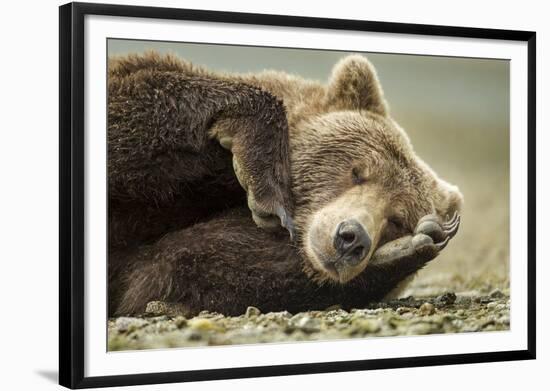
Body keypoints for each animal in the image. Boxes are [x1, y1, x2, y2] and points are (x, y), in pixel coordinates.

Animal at [106, 51, 462, 318]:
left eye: (397, 220)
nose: (351, 238)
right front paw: (265, 188)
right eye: (357, 171)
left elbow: (169, 270)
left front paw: (407, 249)